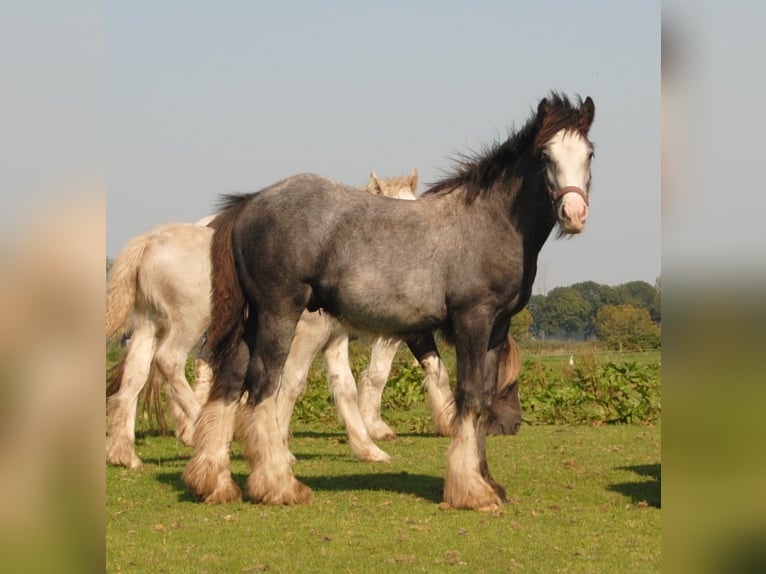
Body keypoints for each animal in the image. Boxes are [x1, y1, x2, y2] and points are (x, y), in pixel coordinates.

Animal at [107, 173, 456, 470]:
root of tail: (149, 242)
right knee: (171, 362)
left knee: (136, 376)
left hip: (151, 326)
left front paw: (368, 448)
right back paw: (199, 426)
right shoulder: (307, 338)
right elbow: (292, 384)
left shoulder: (334, 341)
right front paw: (280, 446)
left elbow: (345, 387)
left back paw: (127, 454)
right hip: (189, 325)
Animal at [183, 92, 596, 510]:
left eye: (589, 154)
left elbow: (481, 398)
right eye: (545, 155)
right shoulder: (472, 322)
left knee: (229, 383)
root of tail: (249, 203)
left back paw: (214, 483)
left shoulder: (495, 329)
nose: (574, 214)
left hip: (252, 320)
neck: (488, 223)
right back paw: (279, 486)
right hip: (278, 314)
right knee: (264, 386)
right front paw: (470, 491)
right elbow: (471, 397)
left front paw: (487, 482)